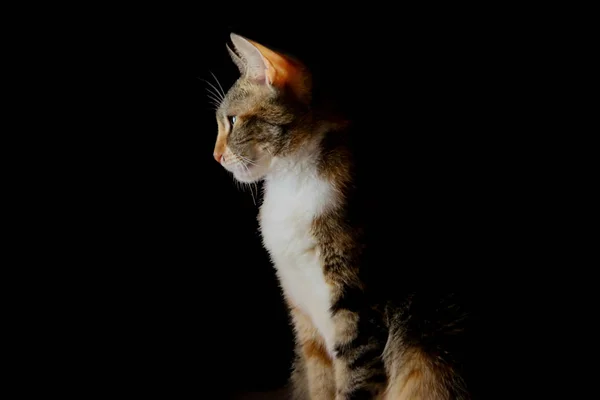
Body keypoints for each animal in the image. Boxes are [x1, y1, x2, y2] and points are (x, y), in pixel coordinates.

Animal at [211, 33, 474, 400]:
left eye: (232, 121)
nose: (216, 155)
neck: (291, 182)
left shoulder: (359, 308)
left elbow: (355, 377)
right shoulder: (306, 325)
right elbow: (320, 382)